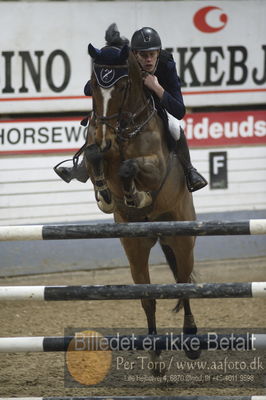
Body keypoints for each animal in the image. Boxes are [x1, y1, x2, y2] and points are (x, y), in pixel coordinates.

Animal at [83, 43, 200, 368]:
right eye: (94, 86)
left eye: (123, 87)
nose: (105, 137)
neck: (124, 129)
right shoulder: (99, 150)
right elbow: (95, 158)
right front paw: (106, 196)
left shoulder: (155, 167)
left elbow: (130, 168)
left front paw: (137, 195)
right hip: (135, 248)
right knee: (147, 297)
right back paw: (155, 353)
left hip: (182, 239)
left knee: (183, 283)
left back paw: (191, 340)